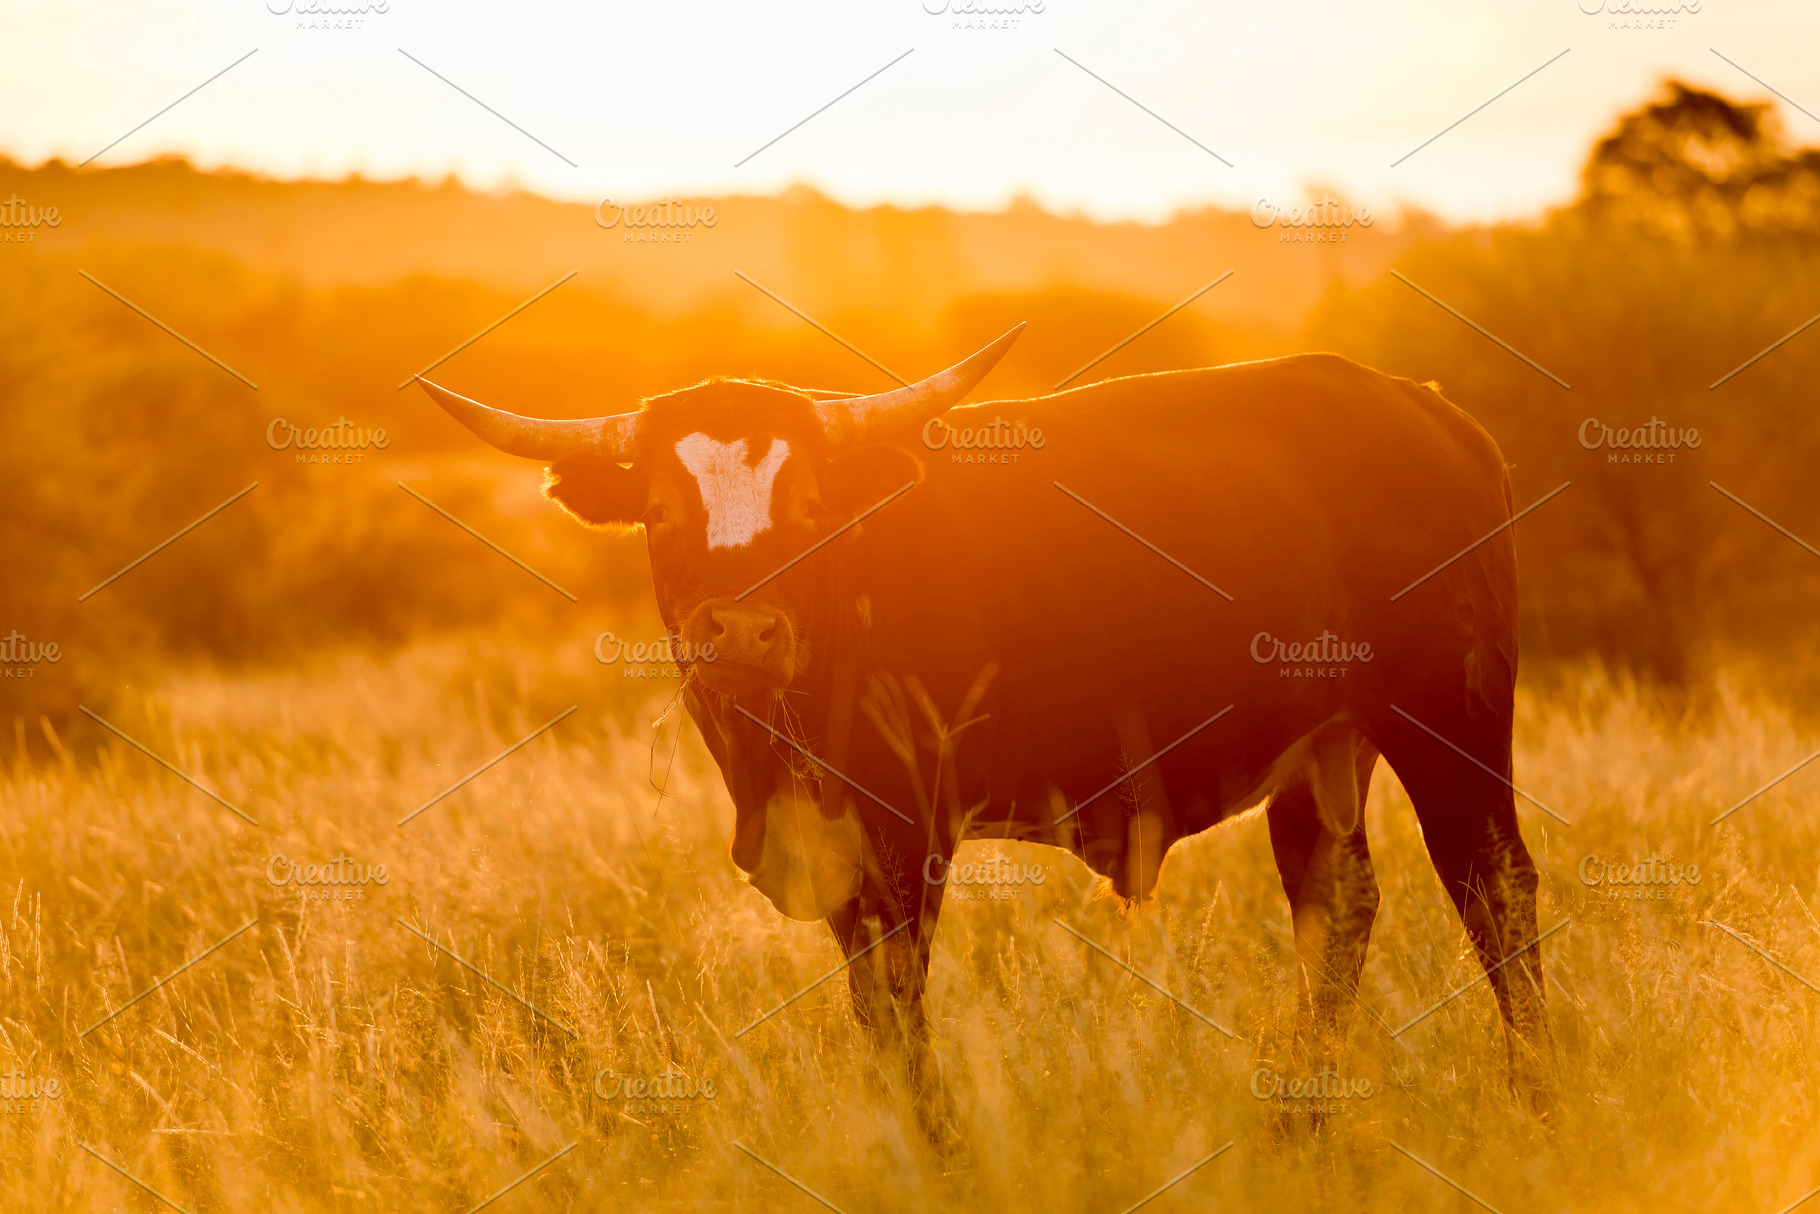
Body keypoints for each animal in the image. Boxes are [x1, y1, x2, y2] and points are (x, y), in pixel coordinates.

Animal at [415, 326, 1556, 1133]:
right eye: (659, 511)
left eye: (813, 506)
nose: (740, 630)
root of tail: (1424, 406)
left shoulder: (903, 833)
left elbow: (894, 1002)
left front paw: (934, 1144)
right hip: (1321, 747)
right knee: (1337, 900)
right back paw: (1302, 1118)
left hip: (1447, 717)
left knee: (1492, 885)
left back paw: (1537, 1098)